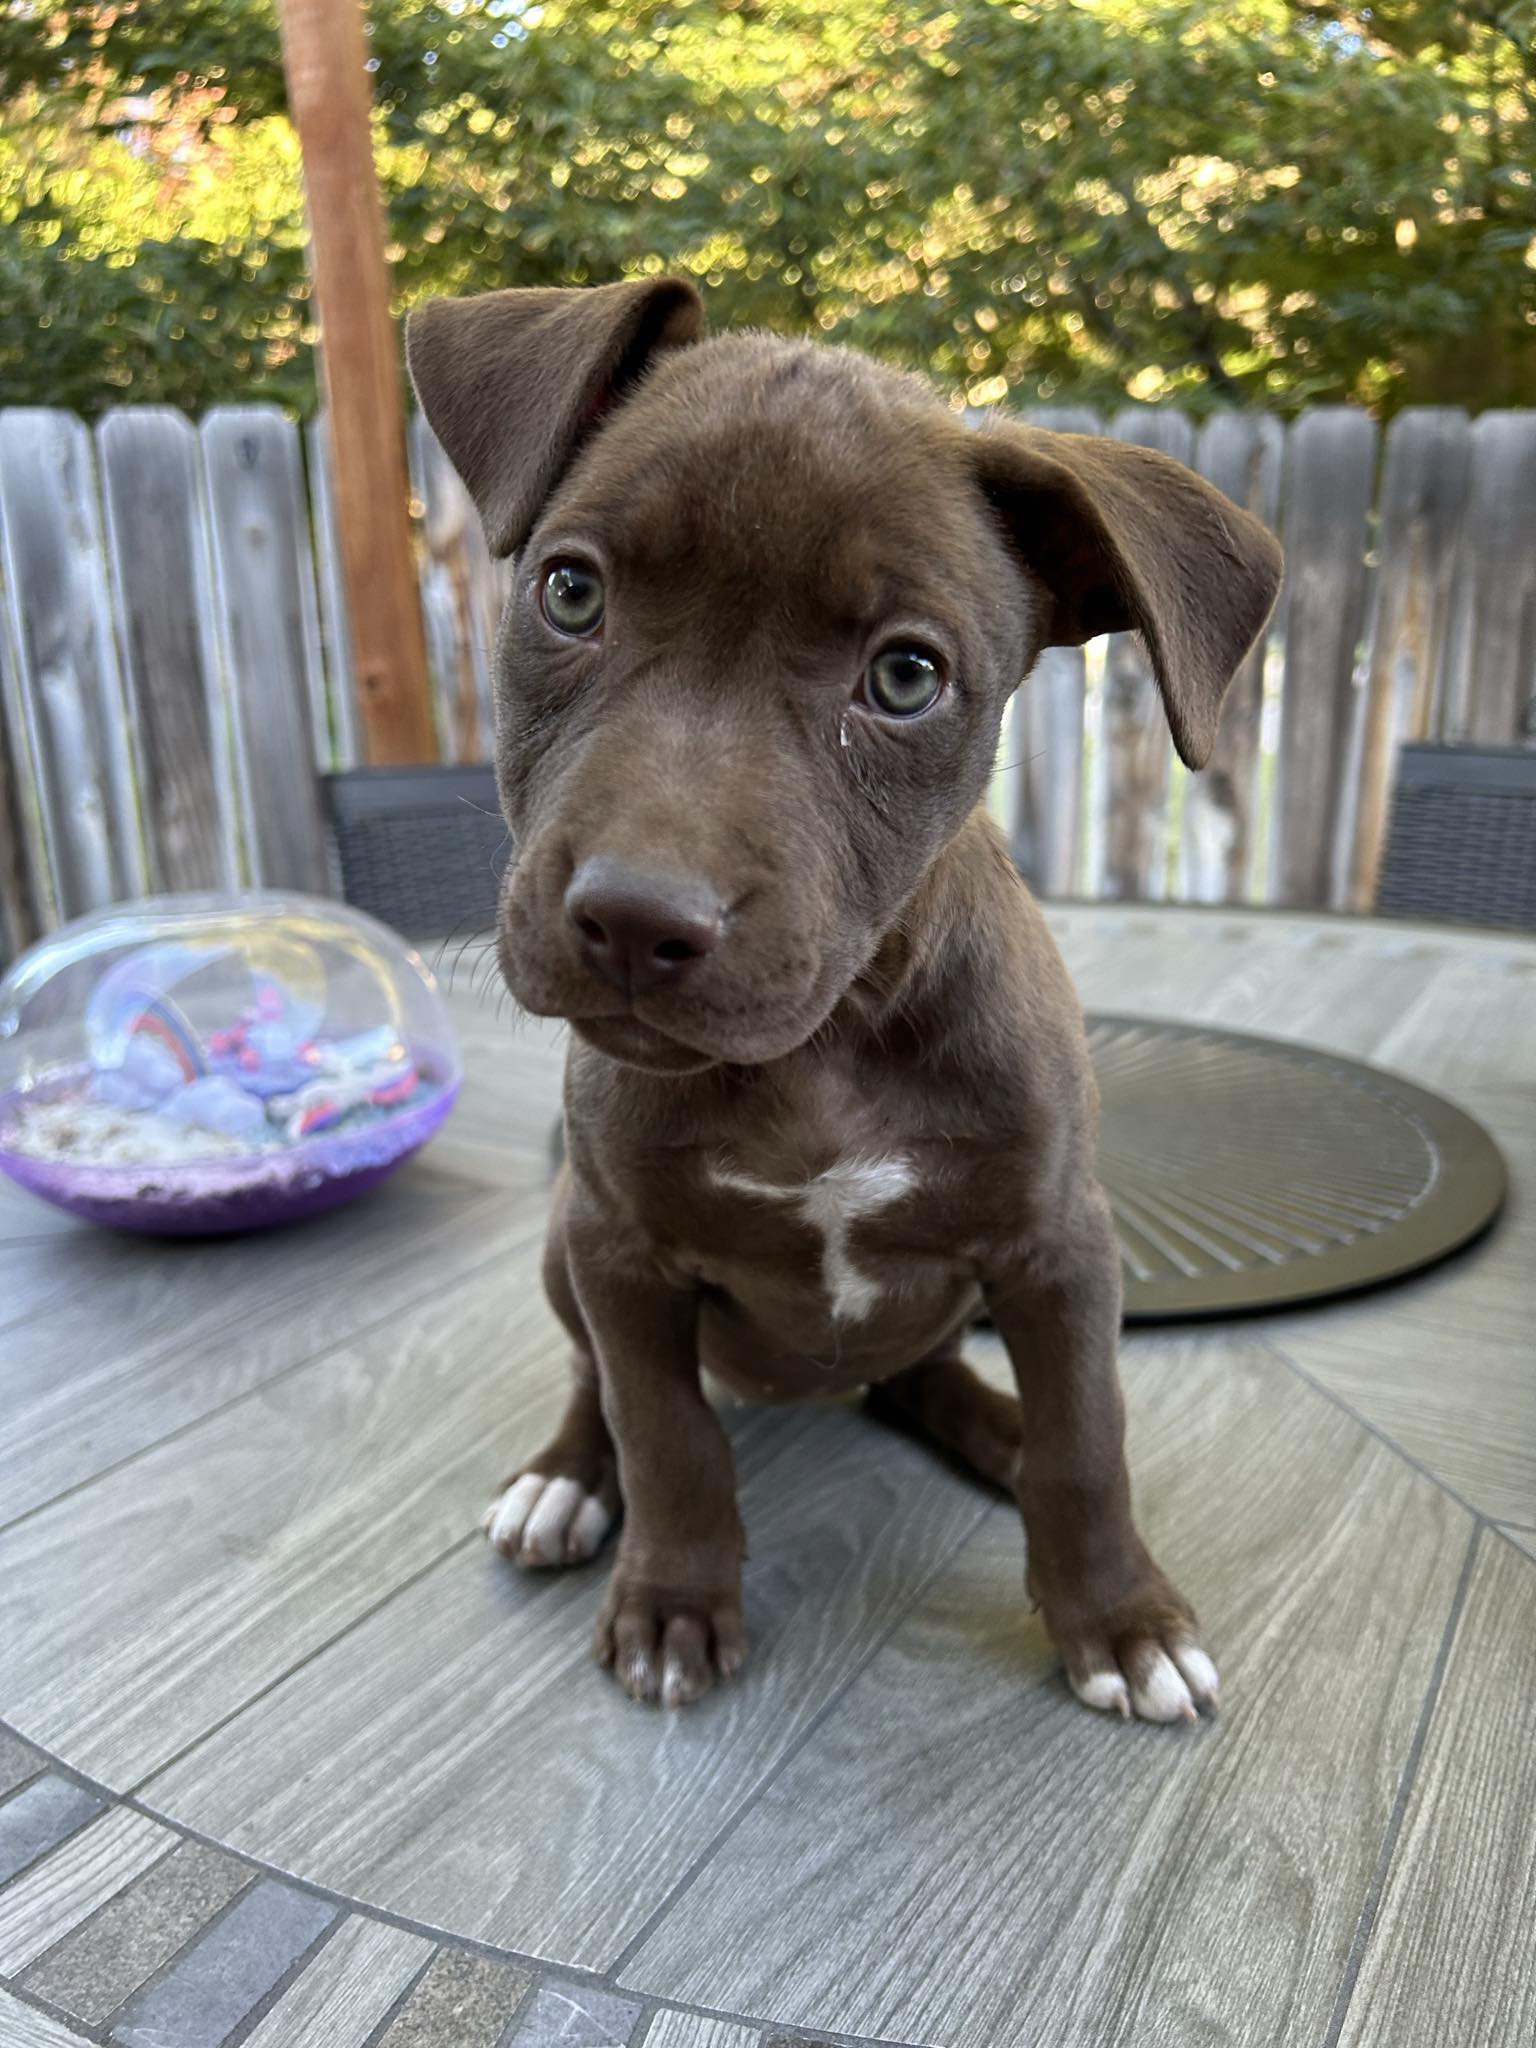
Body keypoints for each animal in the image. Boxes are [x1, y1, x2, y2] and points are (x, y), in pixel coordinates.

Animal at [409, 284, 1286, 1728]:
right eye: (571, 590)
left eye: (906, 678)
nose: (637, 918)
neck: (824, 1045)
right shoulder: (620, 1250)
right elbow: (668, 1434)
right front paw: (672, 1596)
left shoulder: (1061, 1244)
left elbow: (1089, 1439)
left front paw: (1118, 1618)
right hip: (561, 1244)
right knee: (601, 1385)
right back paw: (568, 1477)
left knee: (938, 1384)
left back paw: (996, 1431)